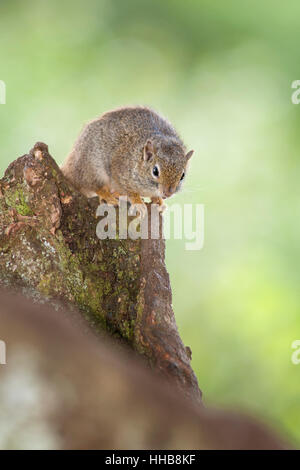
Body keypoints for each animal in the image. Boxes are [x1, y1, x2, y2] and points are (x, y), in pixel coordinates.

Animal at [61, 105, 193, 218]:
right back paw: (108, 195)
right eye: (155, 171)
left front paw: (159, 201)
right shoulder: (119, 169)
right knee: (93, 185)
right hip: (92, 167)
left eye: (182, 175)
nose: (168, 193)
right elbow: (129, 191)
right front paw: (138, 202)